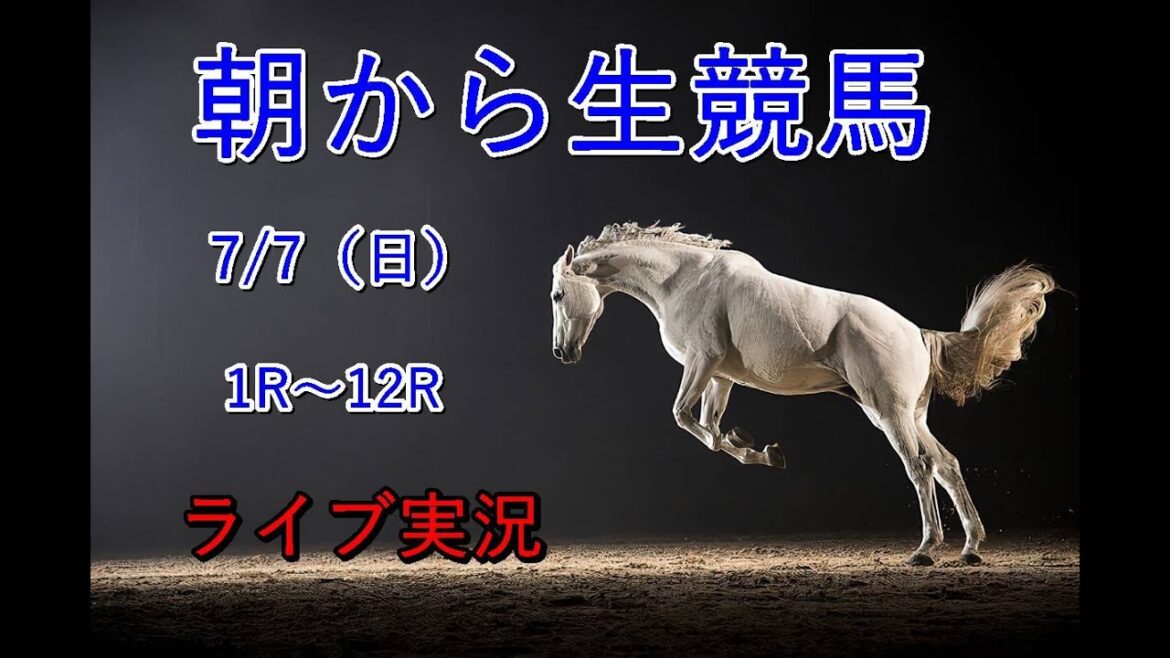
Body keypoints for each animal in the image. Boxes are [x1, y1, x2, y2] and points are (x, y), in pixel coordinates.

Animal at [549, 222, 1056, 566]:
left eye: (557, 295)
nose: (562, 352)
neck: (685, 279)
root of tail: (917, 333)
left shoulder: (702, 362)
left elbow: (683, 417)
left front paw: (756, 447)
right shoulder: (720, 376)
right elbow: (709, 429)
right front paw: (761, 449)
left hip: (890, 413)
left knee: (920, 466)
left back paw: (926, 550)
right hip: (905, 415)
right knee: (946, 464)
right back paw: (970, 547)